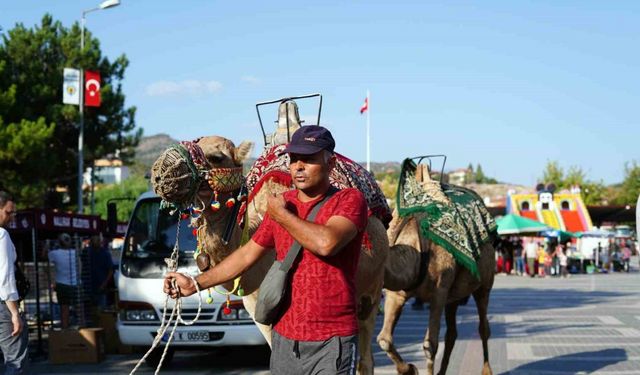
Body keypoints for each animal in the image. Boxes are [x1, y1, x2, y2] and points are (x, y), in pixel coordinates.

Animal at [378, 164, 498, 375]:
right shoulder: (396, 293)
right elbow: (384, 340)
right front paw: (409, 369)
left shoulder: (439, 292)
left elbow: (430, 345)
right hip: (455, 295)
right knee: (452, 332)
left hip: (484, 284)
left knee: (483, 327)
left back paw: (487, 370)